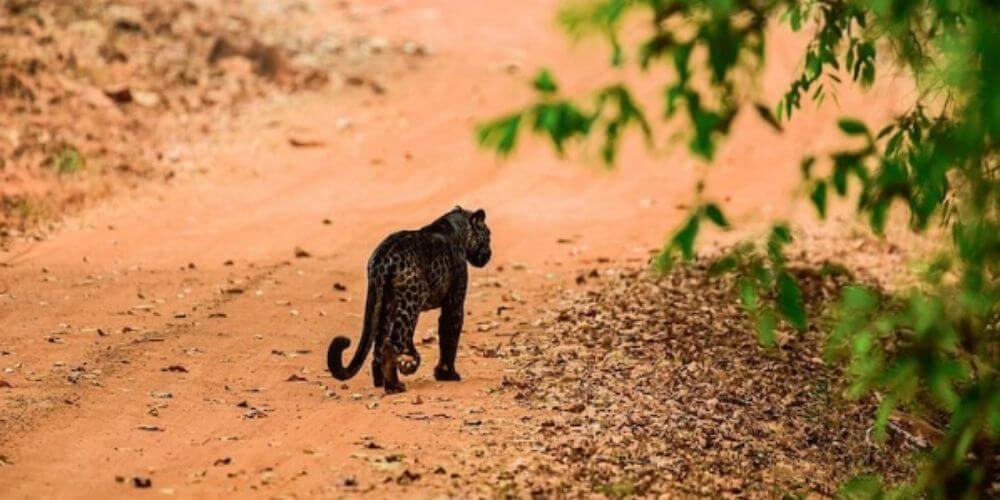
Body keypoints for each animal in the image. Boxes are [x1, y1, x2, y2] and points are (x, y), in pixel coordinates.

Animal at [328, 205, 492, 392]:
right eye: (488, 234)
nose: (489, 254)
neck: (459, 230)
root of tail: (382, 258)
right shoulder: (454, 303)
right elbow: (450, 335)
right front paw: (447, 374)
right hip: (410, 304)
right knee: (396, 341)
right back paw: (401, 377)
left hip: (384, 304)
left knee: (380, 344)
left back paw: (383, 382)